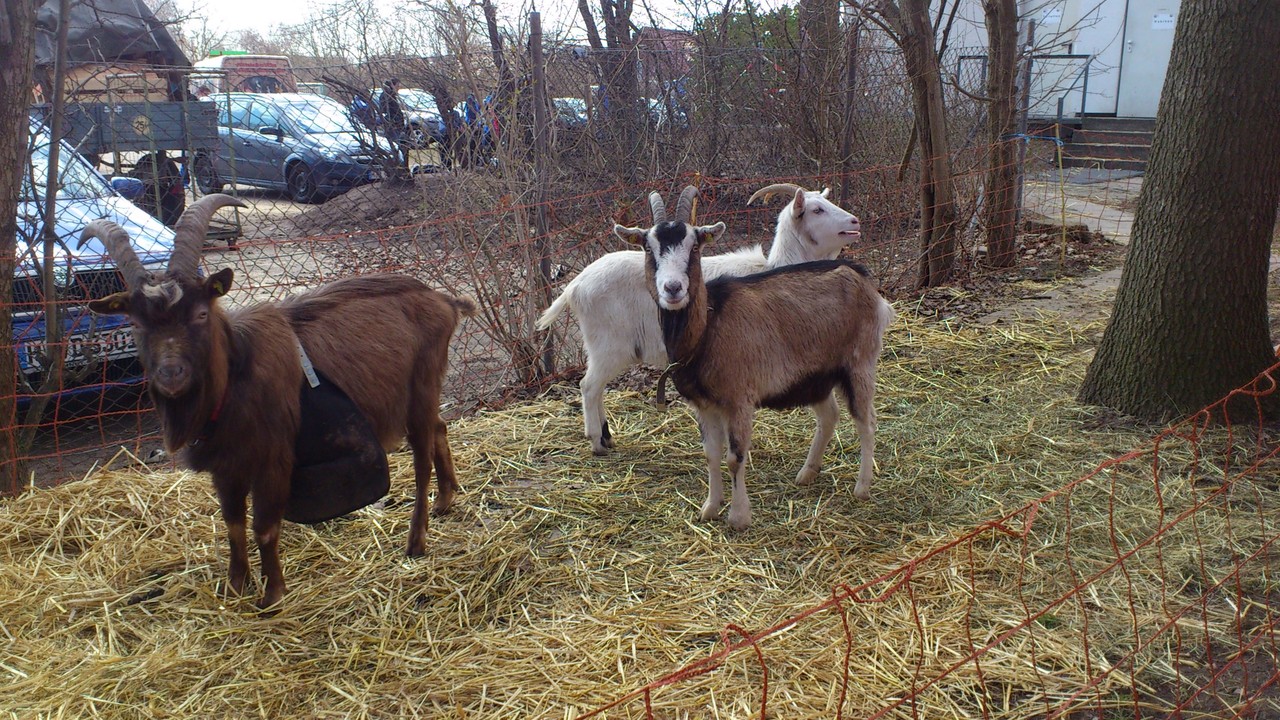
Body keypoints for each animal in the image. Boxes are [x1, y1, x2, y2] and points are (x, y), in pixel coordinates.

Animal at [79, 194, 475, 607]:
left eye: (202, 313)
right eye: (136, 324)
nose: (171, 375)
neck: (236, 376)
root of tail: (443, 301)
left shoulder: (272, 458)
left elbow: (264, 528)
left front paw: (273, 595)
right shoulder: (227, 466)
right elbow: (233, 525)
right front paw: (236, 585)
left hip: (422, 384)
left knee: (422, 459)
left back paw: (416, 541)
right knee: (440, 427)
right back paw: (445, 500)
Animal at [537, 183, 861, 457]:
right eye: (816, 210)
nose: (855, 222)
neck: (775, 267)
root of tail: (576, 284)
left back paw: (607, 437)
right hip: (608, 347)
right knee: (589, 386)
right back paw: (597, 442)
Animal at [615, 186, 895, 530]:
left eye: (695, 246)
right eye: (648, 247)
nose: (673, 289)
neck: (708, 328)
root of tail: (860, 274)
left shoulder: (739, 400)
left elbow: (735, 457)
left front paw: (738, 516)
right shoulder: (703, 405)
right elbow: (711, 454)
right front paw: (710, 508)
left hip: (860, 363)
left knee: (867, 421)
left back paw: (862, 487)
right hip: (816, 376)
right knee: (829, 416)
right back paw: (807, 473)